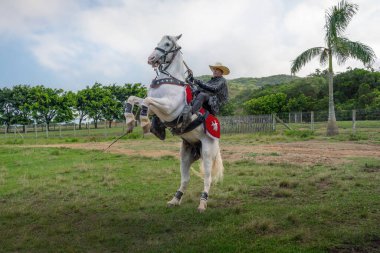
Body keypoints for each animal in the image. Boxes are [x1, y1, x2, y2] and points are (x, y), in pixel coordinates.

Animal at [124, 34, 223, 211]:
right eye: (158, 42)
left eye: (167, 44)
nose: (151, 59)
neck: (169, 80)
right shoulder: (156, 108)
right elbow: (134, 99)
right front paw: (130, 121)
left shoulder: (169, 109)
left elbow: (147, 101)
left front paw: (145, 123)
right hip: (186, 154)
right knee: (185, 178)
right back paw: (175, 200)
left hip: (207, 153)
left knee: (207, 178)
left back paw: (202, 204)